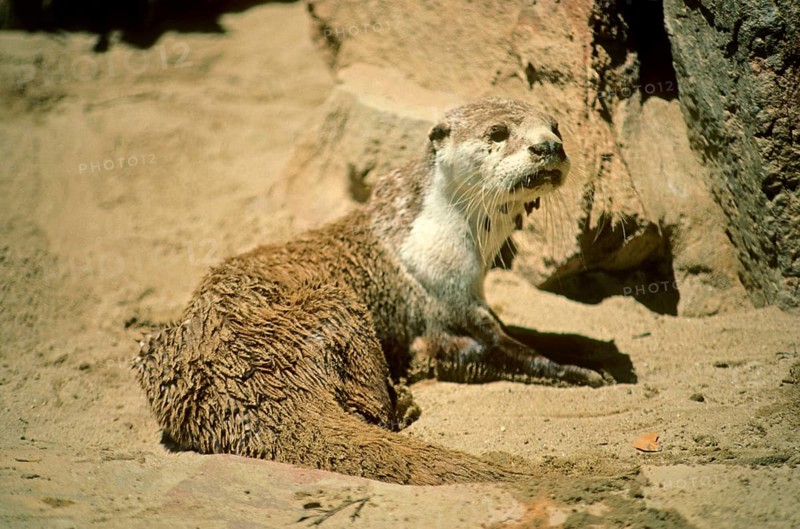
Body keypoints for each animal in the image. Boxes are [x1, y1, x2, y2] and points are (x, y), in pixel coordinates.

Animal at [135, 98, 606, 486]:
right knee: (377, 410)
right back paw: (403, 401)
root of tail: (243, 380)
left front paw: (588, 352)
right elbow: (506, 351)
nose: (549, 147)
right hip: (340, 307)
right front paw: (580, 372)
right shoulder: (441, 300)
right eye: (498, 132)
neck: (432, 237)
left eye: (557, 127)